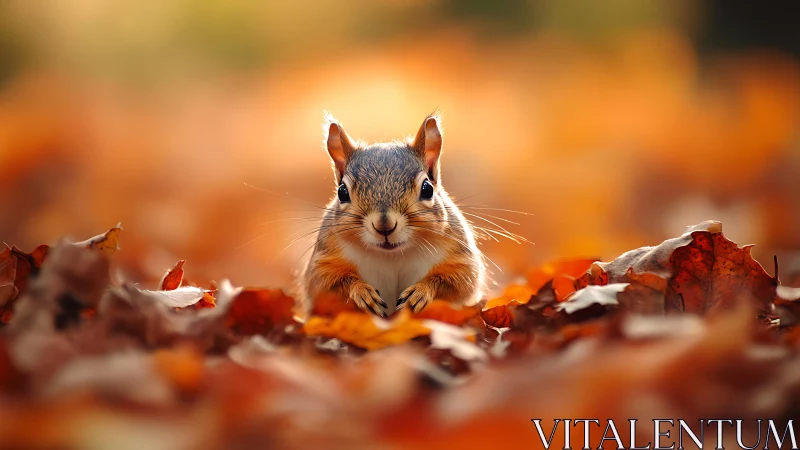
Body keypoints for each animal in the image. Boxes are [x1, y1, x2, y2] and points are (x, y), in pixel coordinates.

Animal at [299, 112, 487, 318]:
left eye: (427, 189)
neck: (392, 255)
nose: (384, 225)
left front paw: (420, 292)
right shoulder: (327, 255)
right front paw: (362, 292)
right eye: (342, 192)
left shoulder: (457, 253)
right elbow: (323, 282)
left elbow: (461, 280)